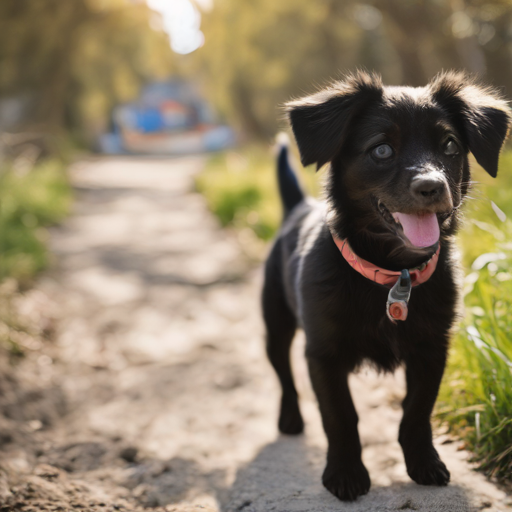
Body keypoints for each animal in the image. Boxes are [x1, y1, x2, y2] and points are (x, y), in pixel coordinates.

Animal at [262, 72, 510, 500]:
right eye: (381, 150)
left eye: (449, 145)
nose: (432, 186)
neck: (394, 273)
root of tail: (297, 208)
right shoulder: (323, 355)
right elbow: (340, 416)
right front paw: (345, 473)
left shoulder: (432, 350)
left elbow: (417, 410)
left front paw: (424, 462)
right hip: (275, 325)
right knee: (284, 375)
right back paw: (290, 417)